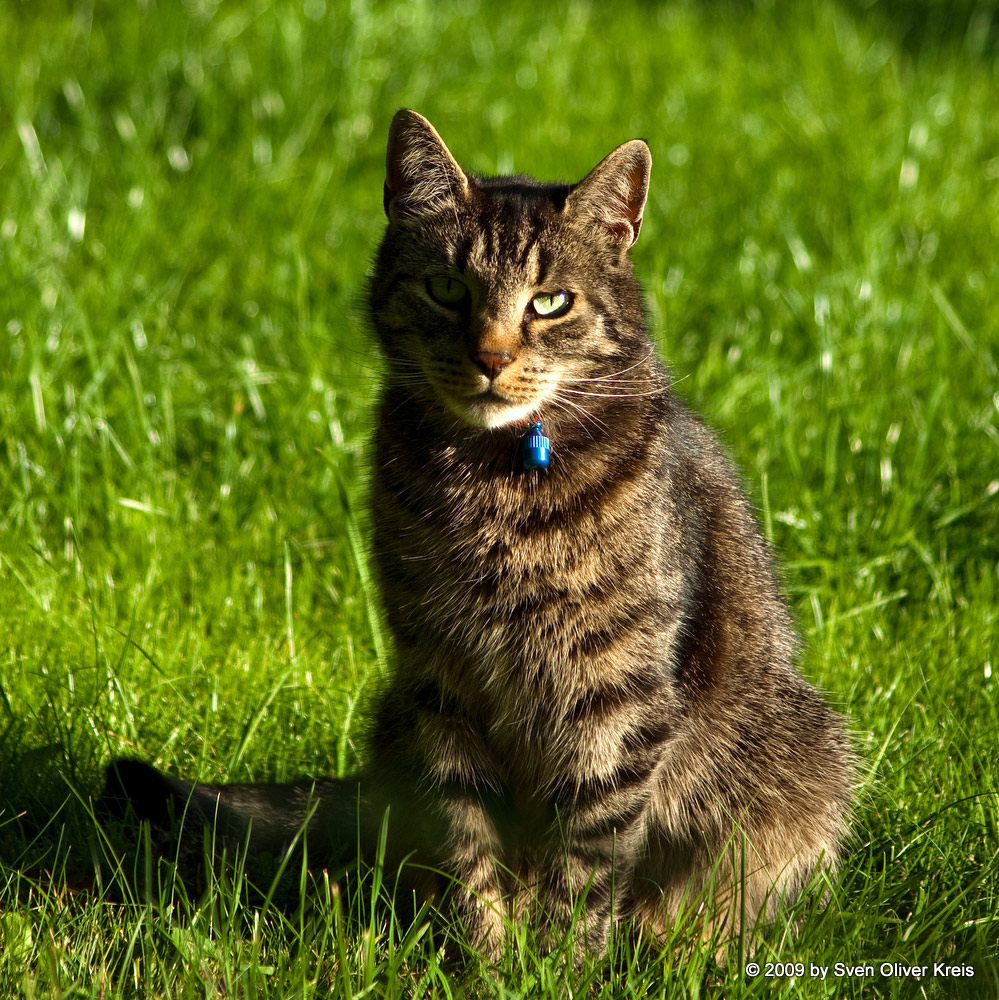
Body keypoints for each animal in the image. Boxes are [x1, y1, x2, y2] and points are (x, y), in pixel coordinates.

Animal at [105, 109, 856, 960]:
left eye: (550, 302)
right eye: (446, 289)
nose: (492, 356)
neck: (496, 485)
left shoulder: (614, 691)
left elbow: (587, 850)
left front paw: (560, 965)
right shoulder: (439, 672)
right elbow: (469, 839)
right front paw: (486, 957)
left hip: (806, 756)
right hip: (395, 719)